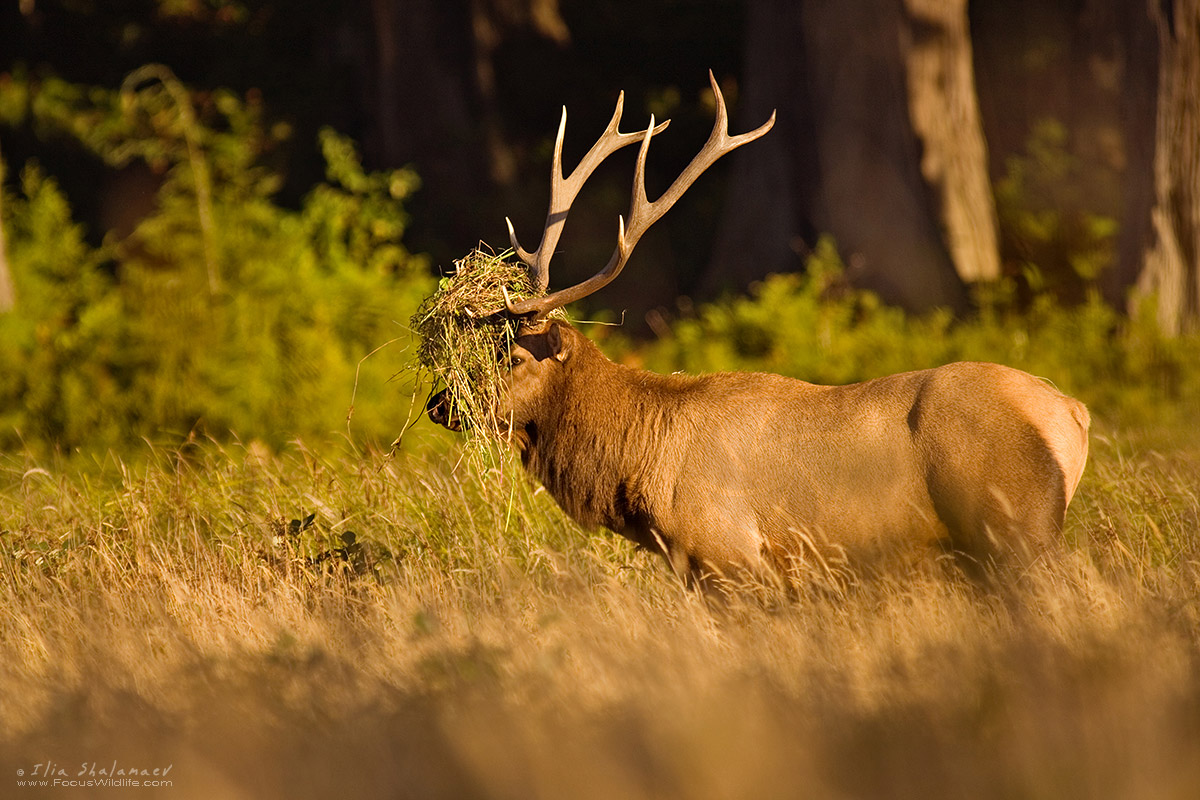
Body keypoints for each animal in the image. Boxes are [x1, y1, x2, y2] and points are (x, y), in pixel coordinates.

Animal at [429, 73, 1089, 587]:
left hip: (1017, 527)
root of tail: (1072, 411)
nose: (440, 404)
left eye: (513, 355)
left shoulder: (732, 555)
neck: (641, 464)